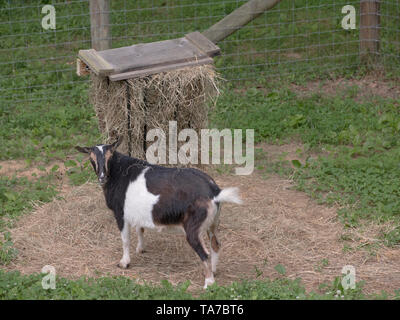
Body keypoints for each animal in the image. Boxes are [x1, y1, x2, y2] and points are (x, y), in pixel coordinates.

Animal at [76, 136, 242, 288]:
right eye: (91, 158)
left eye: (110, 156)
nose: (102, 177)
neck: (119, 172)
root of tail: (214, 191)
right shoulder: (137, 211)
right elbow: (140, 229)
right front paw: (141, 249)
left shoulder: (120, 213)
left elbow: (125, 239)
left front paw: (124, 263)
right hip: (213, 222)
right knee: (215, 244)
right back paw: (213, 271)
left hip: (194, 227)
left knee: (204, 253)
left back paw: (208, 283)